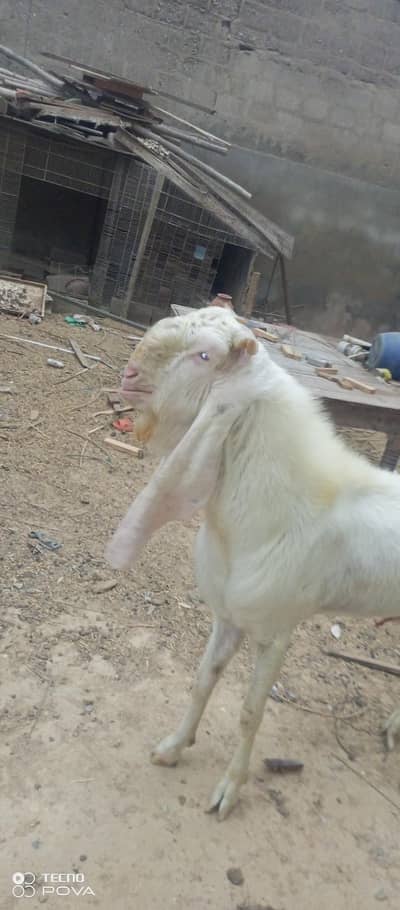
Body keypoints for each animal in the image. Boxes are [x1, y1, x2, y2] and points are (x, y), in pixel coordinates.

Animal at [106, 306, 400, 819]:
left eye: (204, 355)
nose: (129, 376)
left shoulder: (275, 633)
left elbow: (249, 712)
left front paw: (229, 790)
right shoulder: (227, 615)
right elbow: (202, 681)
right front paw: (173, 747)